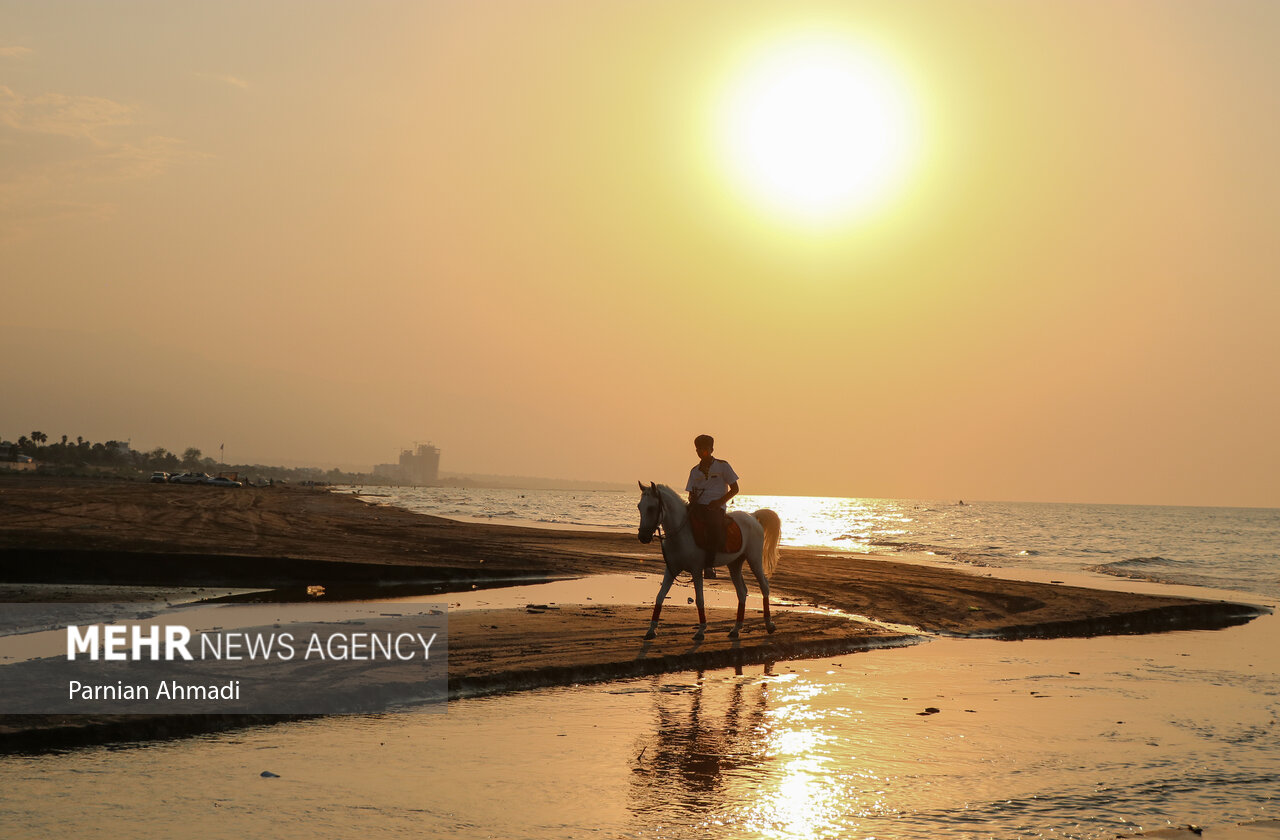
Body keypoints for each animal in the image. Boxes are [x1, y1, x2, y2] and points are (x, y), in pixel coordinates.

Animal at [637, 481, 778, 640]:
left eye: (651, 508)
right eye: (639, 506)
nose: (643, 537)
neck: (682, 534)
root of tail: (752, 516)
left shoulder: (696, 570)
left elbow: (699, 599)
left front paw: (701, 631)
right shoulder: (671, 569)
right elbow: (660, 597)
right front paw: (651, 630)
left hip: (754, 559)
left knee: (764, 586)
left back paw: (769, 624)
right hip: (734, 564)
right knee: (741, 592)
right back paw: (736, 629)